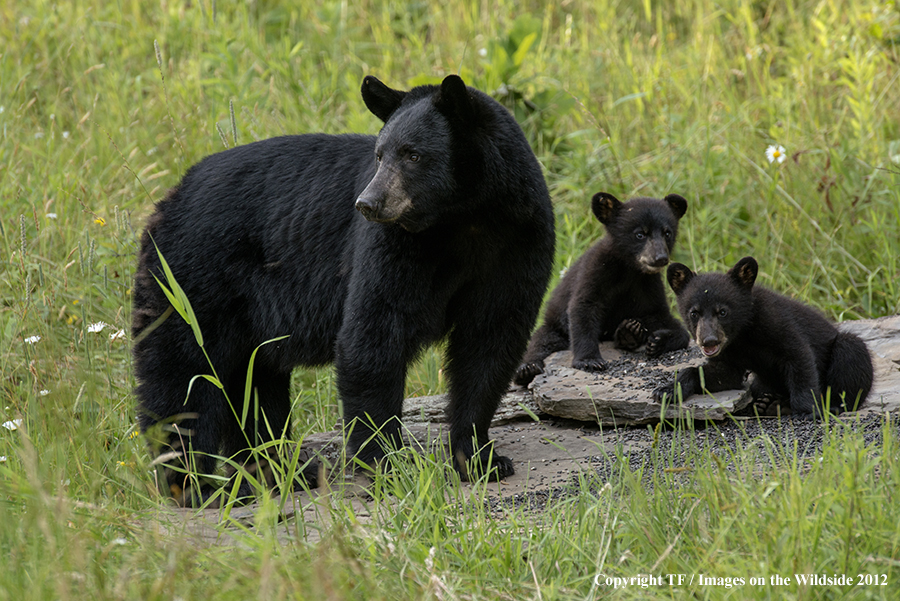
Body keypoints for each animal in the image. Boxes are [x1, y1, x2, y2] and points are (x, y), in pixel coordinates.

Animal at [132, 74, 555, 505]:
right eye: (379, 155)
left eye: (413, 154)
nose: (368, 203)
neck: (462, 220)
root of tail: (167, 199)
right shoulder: (394, 246)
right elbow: (373, 335)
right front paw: (387, 464)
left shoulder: (517, 242)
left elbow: (488, 344)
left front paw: (480, 458)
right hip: (192, 278)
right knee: (184, 376)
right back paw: (192, 484)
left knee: (253, 384)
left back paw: (279, 470)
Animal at [513, 192, 691, 386]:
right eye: (640, 234)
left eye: (667, 233)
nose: (660, 258)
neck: (629, 269)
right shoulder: (596, 269)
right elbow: (584, 305)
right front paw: (590, 361)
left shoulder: (648, 283)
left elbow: (662, 316)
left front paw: (658, 340)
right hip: (554, 329)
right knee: (539, 344)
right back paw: (527, 369)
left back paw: (629, 333)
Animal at [652, 256, 874, 416]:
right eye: (694, 313)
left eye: (722, 311)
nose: (709, 341)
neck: (742, 334)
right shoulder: (730, 353)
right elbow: (723, 374)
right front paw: (667, 390)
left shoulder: (776, 321)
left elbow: (799, 358)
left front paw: (807, 410)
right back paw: (767, 403)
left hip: (847, 350)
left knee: (850, 354)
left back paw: (828, 405)